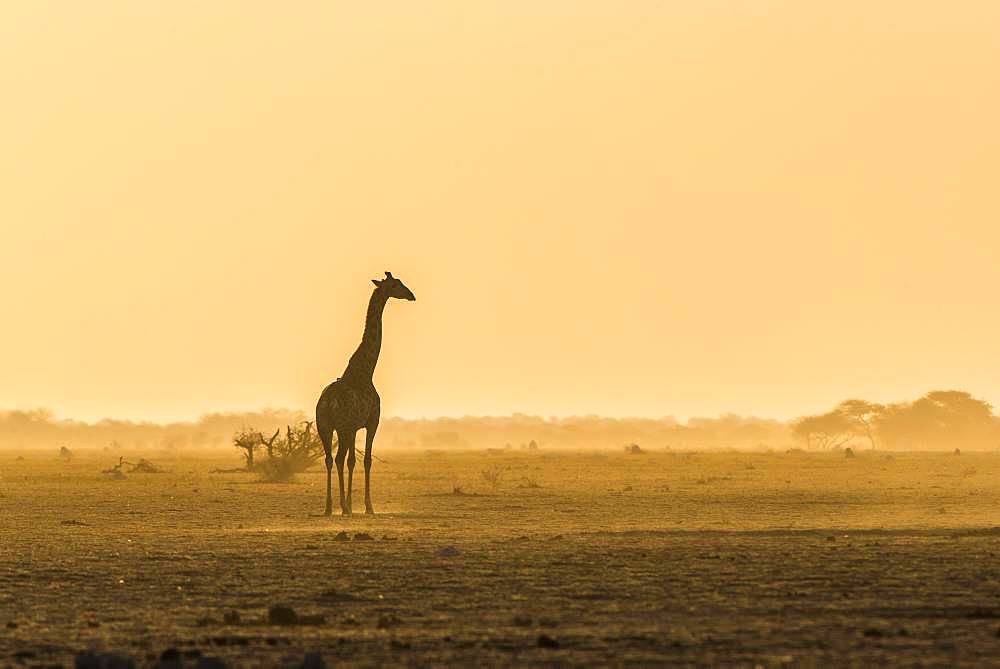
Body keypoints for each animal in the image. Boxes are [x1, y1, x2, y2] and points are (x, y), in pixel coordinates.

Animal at [316, 272, 418, 516]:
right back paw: (343, 506)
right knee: (342, 459)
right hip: (344, 427)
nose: (411, 295)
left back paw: (329, 507)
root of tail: (326, 402)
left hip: (325, 426)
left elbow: (351, 460)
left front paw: (351, 505)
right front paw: (367, 506)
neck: (365, 371)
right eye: (396, 284)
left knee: (330, 459)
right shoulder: (371, 422)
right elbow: (365, 460)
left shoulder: (351, 427)